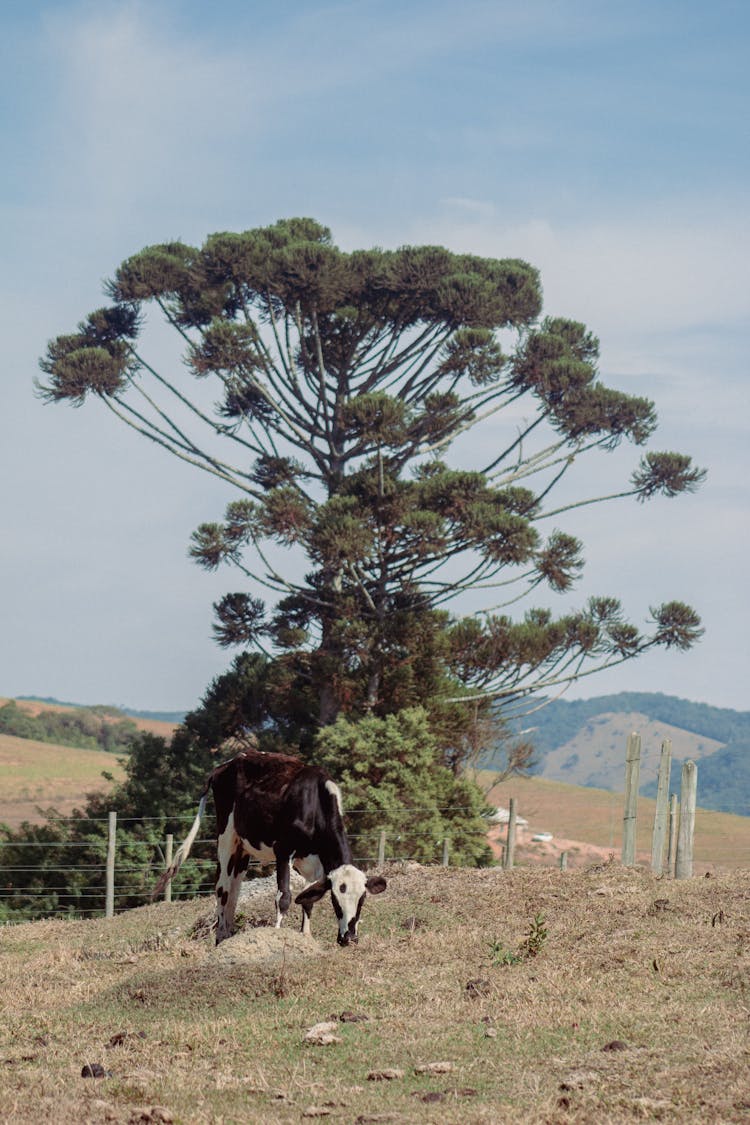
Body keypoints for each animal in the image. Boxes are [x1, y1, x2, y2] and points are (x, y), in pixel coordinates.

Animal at [152, 751, 386, 945]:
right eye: (336, 900)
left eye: (362, 899)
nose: (349, 938)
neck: (314, 802)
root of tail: (225, 765)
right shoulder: (283, 850)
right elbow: (284, 898)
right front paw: (276, 934)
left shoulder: (316, 863)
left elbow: (307, 900)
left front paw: (305, 937)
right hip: (226, 836)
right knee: (222, 889)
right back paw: (219, 939)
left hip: (242, 849)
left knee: (234, 892)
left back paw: (227, 937)